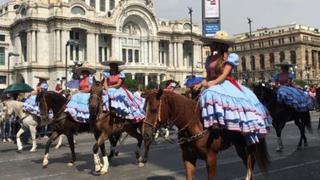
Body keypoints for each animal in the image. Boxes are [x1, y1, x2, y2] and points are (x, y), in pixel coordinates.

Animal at [142, 90, 270, 180]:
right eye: (144, 109)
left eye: (154, 110)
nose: (145, 133)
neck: (196, 124)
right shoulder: (188, 157)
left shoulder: (211, 158)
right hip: (239, 146)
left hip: (251, 144)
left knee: (250, 164)